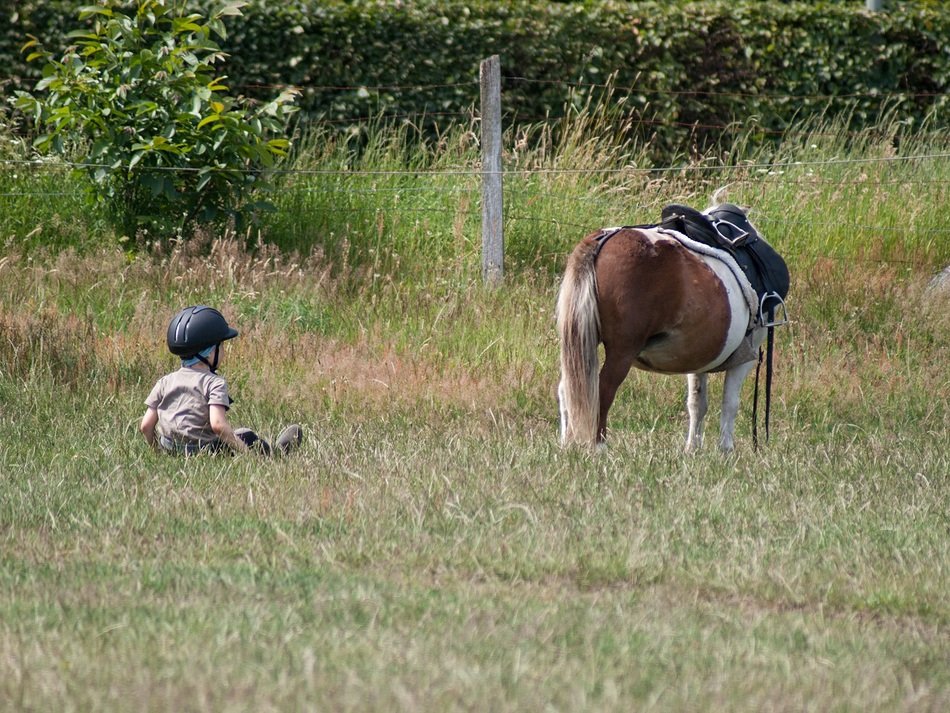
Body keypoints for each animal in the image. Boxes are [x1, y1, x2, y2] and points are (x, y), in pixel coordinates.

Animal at [556, 205, 788, 452]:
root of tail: (603, 240)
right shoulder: (745, 357)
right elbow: (730, 403)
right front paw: (725, 450)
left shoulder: (699, 358)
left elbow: (697, 403)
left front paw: (692, 449)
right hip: (621, 352)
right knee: (602, 391)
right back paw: (599, 448)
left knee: (569, 391)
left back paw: (567, 444)